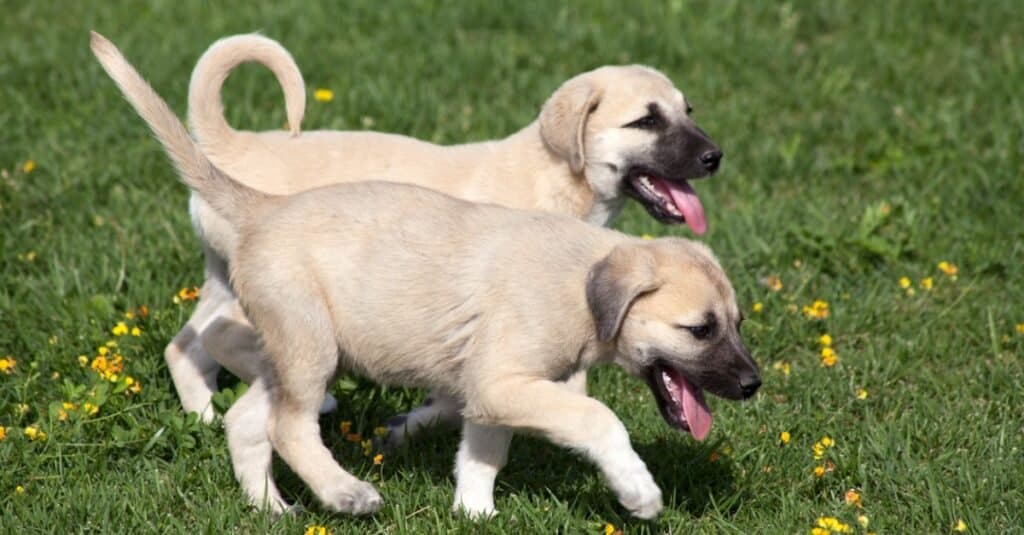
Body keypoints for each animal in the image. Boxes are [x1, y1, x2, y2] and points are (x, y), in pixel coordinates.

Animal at [167, 33, 724, 434]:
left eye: (688, 111)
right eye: (646, 121)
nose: (714, 157)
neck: (553, 177)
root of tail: (229, 144)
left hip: (223, 278)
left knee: (185, 344)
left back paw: (204, 416)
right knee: (220, 339)